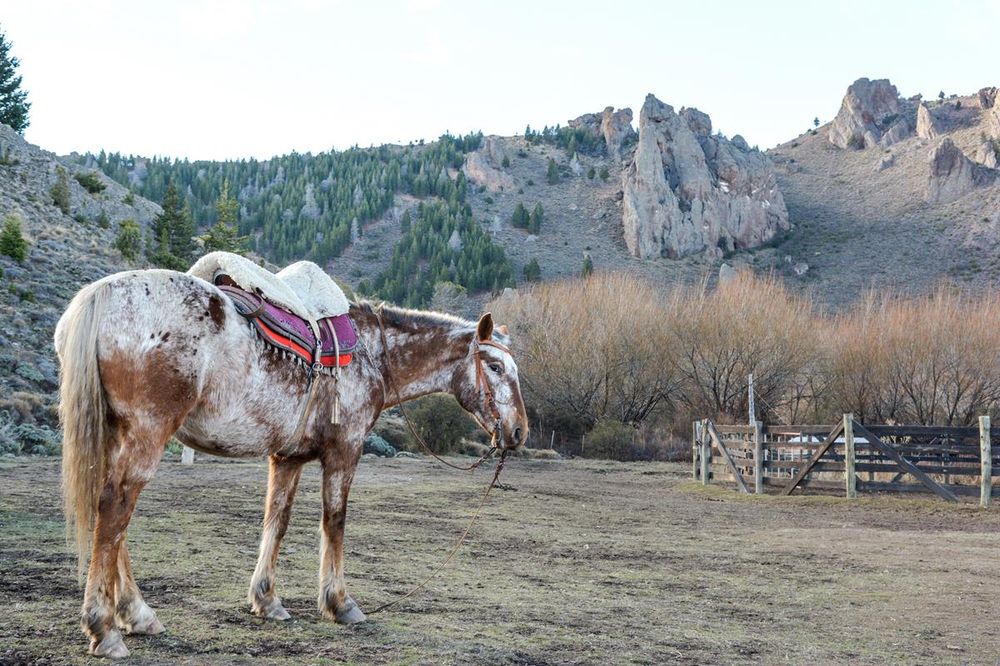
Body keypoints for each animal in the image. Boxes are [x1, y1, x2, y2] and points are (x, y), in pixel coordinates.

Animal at [54, 268, 529, 658]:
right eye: (494, 366)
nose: (519, 431)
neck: (373, 353)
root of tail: (101, 293)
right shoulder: (344, 451)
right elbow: (334, 522)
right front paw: (340, 603)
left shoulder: (288, 458)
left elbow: (275, 522)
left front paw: (267, 600)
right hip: (147, 434)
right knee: (114, 512)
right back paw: (104, 629)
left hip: (117, 435)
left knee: (112, 520)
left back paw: (137, 615)